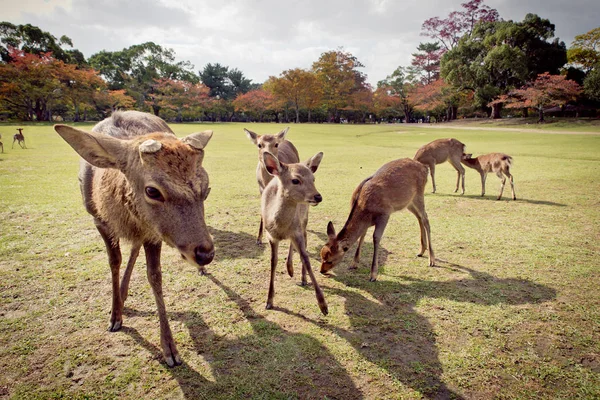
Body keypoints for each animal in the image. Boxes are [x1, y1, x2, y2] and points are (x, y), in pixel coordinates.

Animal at [52, 111, 214, 368]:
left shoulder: (152, 232)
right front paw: (114, 316)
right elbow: (114, 262)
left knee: (136, 247)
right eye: (152, 191)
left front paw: (170, 349)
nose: (205, 253)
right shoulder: (98, 220)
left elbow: (155, 276)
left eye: (206, 189)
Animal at [262, 150, 328, 316]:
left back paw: (299, 275)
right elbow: (273, 262)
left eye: (313, 179)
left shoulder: (296, 231)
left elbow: (306, 259)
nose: (318, 196)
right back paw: (290, 268)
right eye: (295, 180)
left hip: (304, 221)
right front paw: (269, 301)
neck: (280, 228)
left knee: (304, 239)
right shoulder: (270, 236)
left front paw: (323, 306)